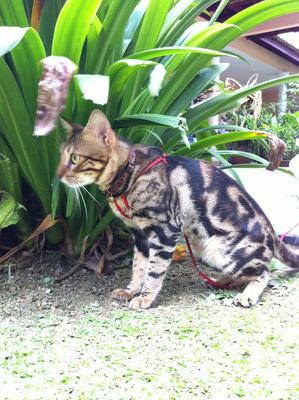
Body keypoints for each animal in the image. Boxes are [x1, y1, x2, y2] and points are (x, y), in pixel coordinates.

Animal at [56, 109, 299, 310]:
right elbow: (138, 267)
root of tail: (272, 233)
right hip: (205, 249)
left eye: (75, 157)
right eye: (61, 155)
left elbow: (154, 270)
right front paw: (132, 290)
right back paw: (221, 281)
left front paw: (145, 298)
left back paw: (247, 294)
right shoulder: (139, 235)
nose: (57, 176)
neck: (130, 174)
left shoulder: (164, 230)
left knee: (264, 272)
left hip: (223, 251)